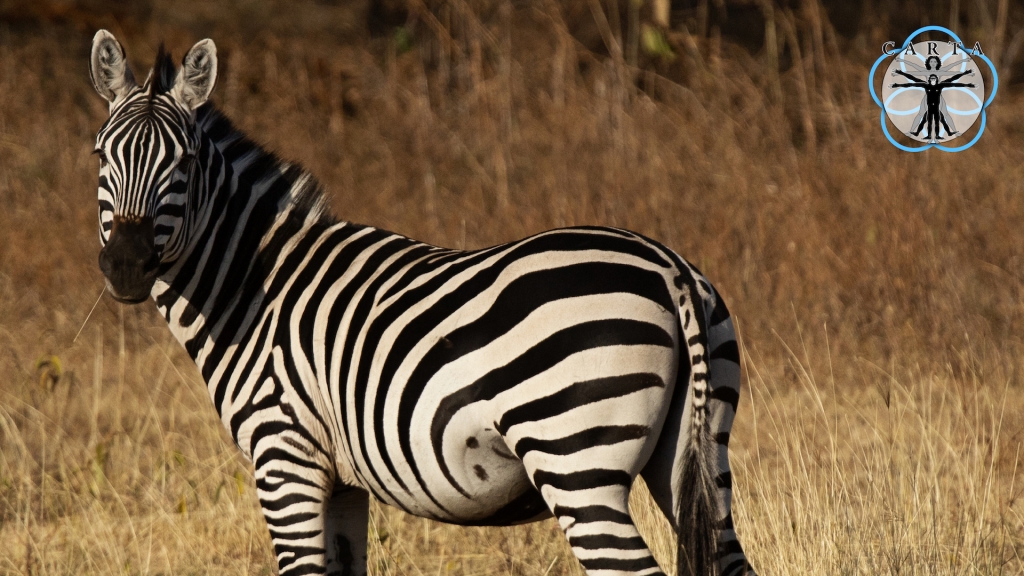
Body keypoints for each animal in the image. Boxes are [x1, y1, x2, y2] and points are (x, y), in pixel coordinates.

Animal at [90, 30, 761, 573]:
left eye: (184, 161)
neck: (252, 288)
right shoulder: (342, 480)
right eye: (100, 155)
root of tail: (669, 270)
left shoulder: (285, 454)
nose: (125, 264)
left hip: (576, 461)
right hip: (697, 455)